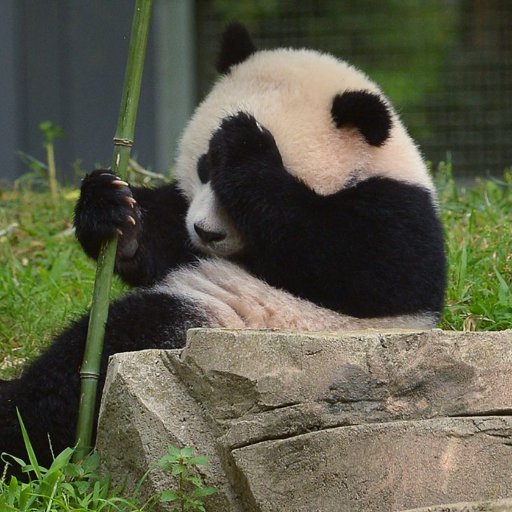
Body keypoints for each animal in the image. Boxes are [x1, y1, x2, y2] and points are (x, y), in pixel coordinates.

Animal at [0, 24, 444, 472]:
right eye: (204, 167)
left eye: (228, 181)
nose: (206, 232)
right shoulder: (184, 226)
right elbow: (162, 239)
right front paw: (112, 212)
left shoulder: (398, 213)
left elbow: (360, 266)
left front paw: (246, 144)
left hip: (227, 335)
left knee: (106, 349)